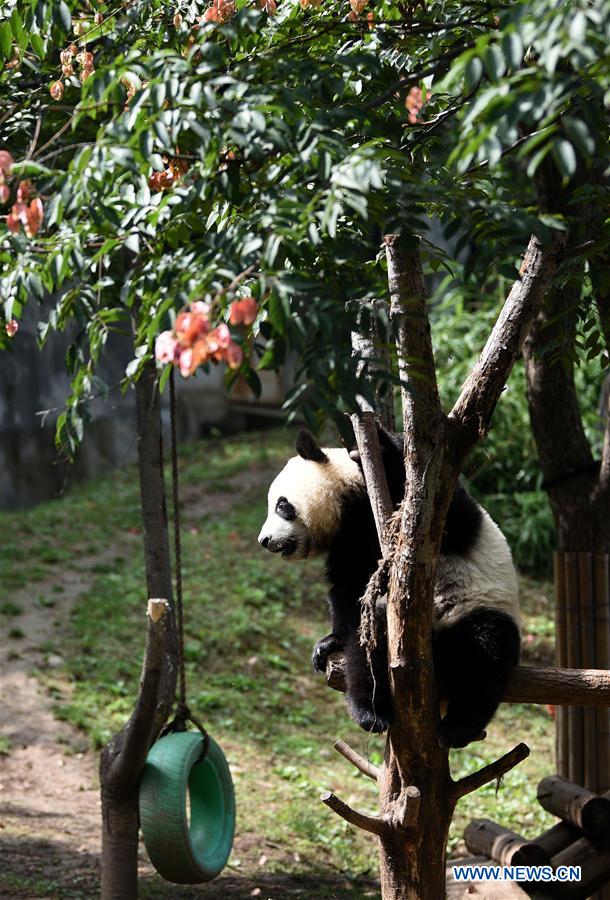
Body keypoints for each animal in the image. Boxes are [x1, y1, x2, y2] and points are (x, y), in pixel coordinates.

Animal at [256, 426, 516, 748]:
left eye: (282, 505)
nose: (264, 540)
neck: (351, 497)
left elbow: (444, 515)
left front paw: (378, 443)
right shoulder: (349, 540)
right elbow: (349, 590)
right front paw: (328, 643)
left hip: (477, 607)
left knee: (487, 650)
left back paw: (457, 728)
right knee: (371, 641)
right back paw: (370, 712)